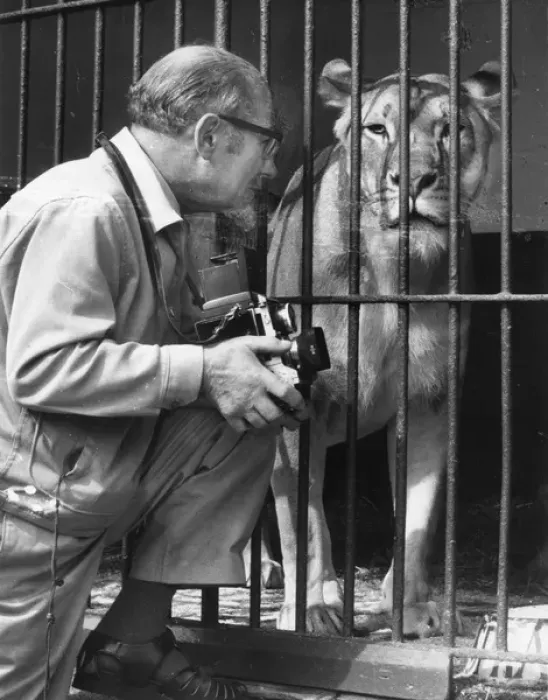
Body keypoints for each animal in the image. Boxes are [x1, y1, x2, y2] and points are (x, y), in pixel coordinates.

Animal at [265, 58, 508, 637]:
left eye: (451, 129)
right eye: (378, 129)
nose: (414, 180)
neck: (389, 272)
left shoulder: (427, 403)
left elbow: (417, 520)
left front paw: (413, 611)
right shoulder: (300, 402)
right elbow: (304, 525)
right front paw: (307, 612)